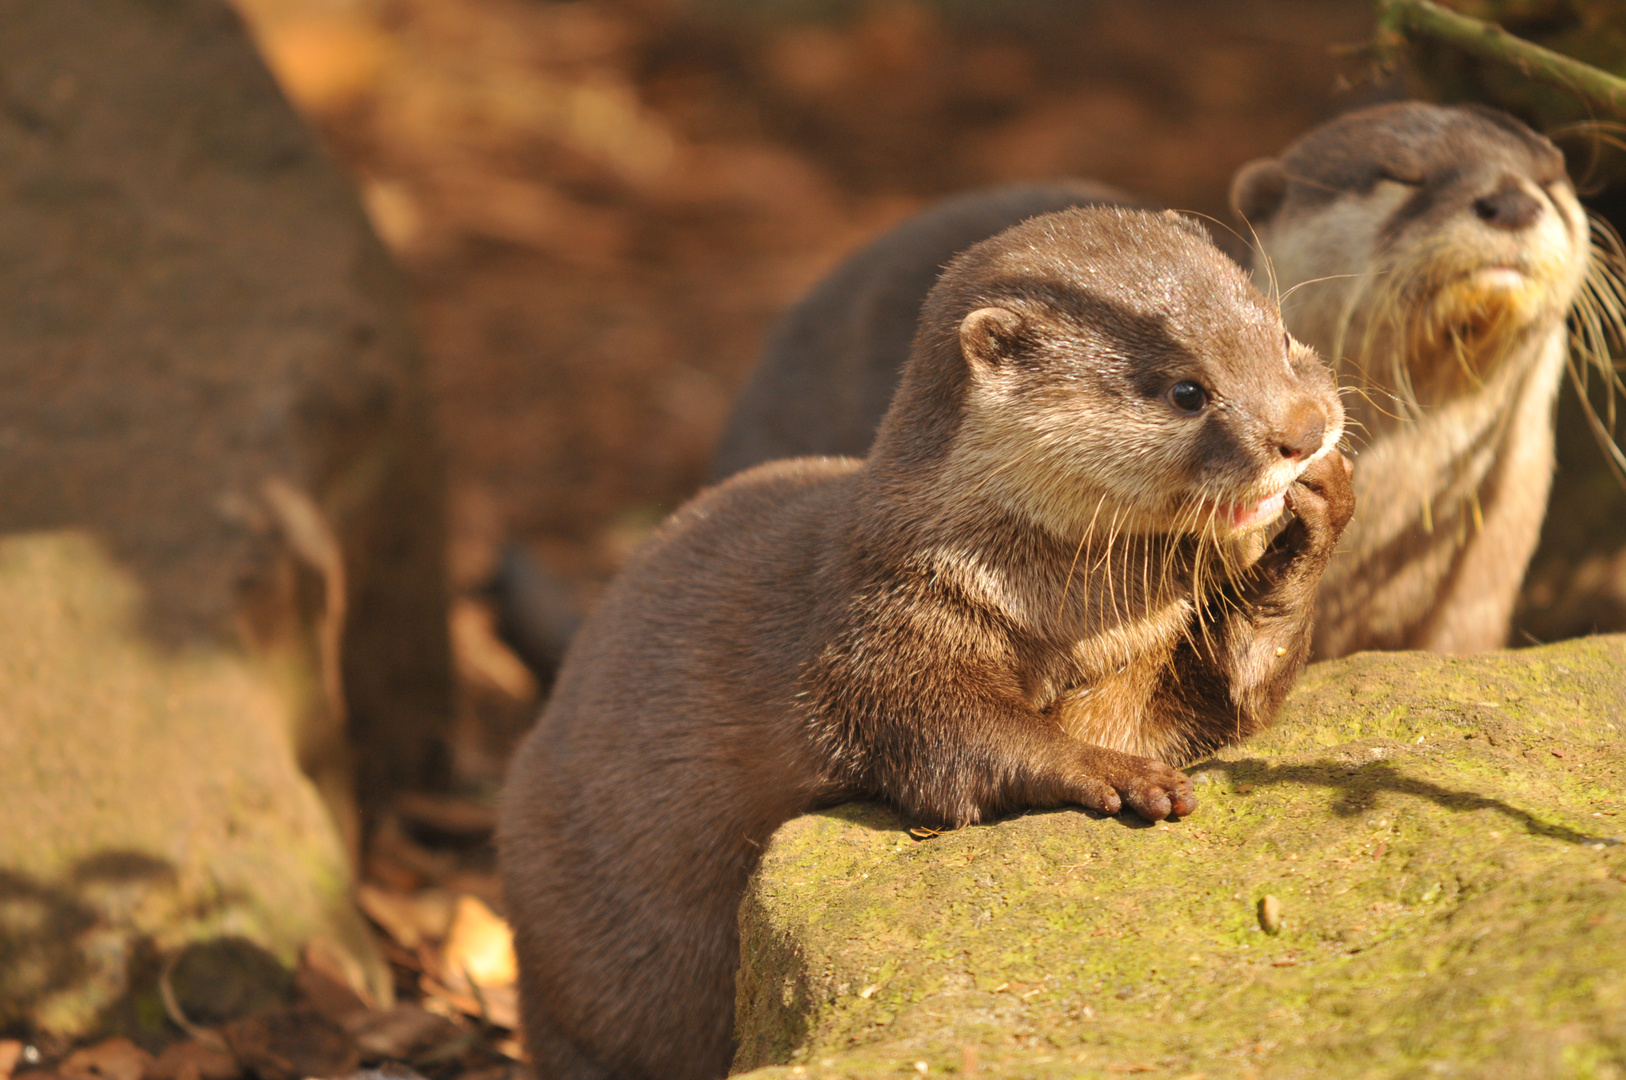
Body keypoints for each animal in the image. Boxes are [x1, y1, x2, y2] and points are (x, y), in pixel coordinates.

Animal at [500, 206, 1352, 1073]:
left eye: (1282, 337)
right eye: (1186, 391)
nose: (1304, 431)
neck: (1069, 612)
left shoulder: (1139, 671)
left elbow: (1221, 700)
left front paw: (1323, 510)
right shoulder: (888, 628)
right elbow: (955, 737)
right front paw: (1116, 773)